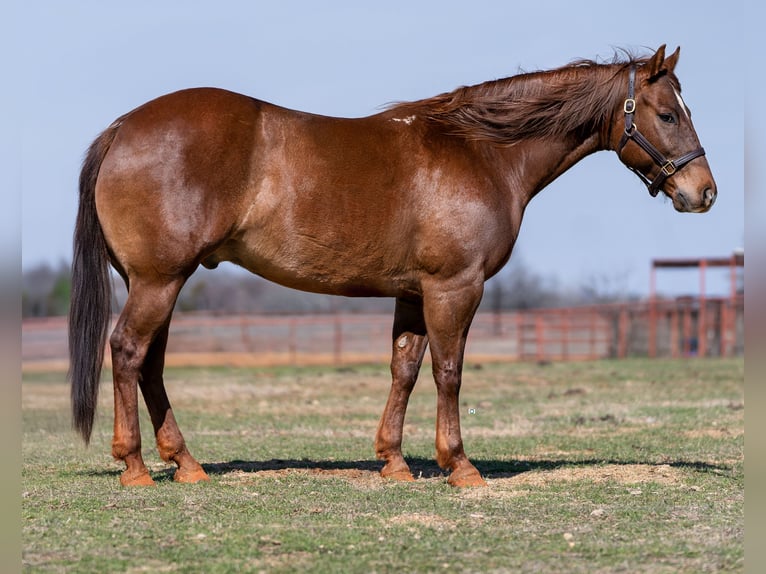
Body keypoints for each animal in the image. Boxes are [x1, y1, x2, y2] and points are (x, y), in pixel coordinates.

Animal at [69, 45, 716, 488]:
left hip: (157, 282)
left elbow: (404, 368)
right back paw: (134, 466)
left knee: (150, 363)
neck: (481, 151)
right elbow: (449, 372)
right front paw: (460, 465)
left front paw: (395, 462)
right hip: (158, 281)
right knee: (127, 351)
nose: (703, 193)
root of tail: (124, 128)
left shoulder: (414, 291)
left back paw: (186, 463)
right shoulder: (455, 287)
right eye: (666, 114)